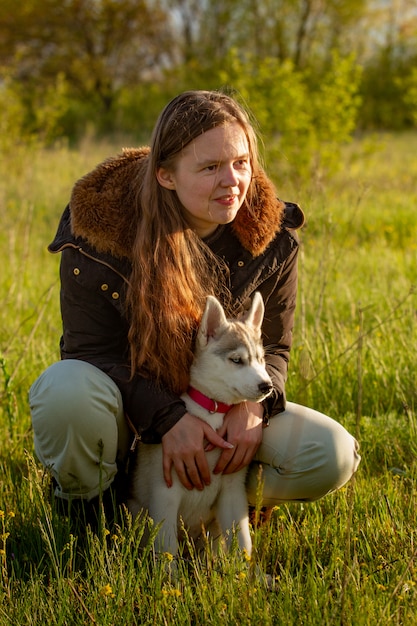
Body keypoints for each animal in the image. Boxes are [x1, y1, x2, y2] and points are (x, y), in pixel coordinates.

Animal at [128, 292, 274, 556]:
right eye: (237, 360)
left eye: (261, 359)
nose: (267, 386)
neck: (213, 410)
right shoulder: (164, 494)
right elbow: (167, 549)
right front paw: (168, 569)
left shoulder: (233, 492)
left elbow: (243, 542)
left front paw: (246, 568)